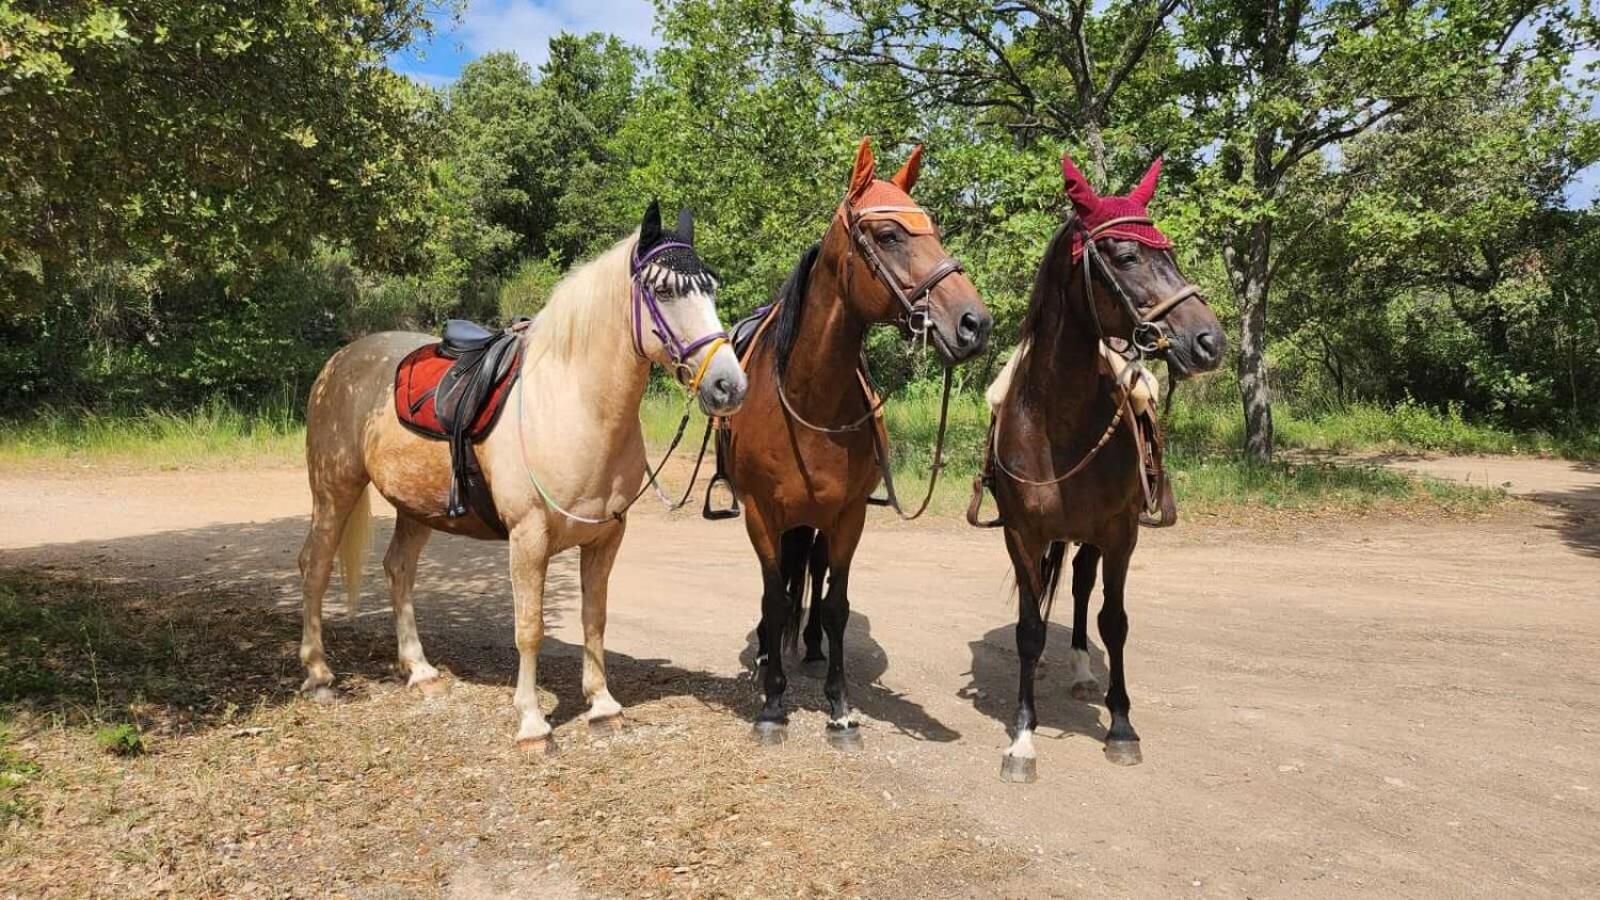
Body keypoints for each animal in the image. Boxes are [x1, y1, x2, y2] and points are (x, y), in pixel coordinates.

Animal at [297, 202, 746, 752]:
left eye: (711, 288)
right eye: (663, 292)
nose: (729, 385)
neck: (573, 405)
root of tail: (341, 361)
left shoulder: (606, 537)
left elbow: (594, 618)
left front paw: (603, 705)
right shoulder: (528, 538)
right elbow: (529, 627)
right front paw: (532, 723)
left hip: (416, 506)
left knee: (398, 569)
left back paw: (420, 671)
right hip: (334, 489)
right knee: (316, 566)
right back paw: (319, 674)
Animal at [720, 138, 993, 748]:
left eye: (935, 228)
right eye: (889, 235)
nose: (974, 324)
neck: (809, 401)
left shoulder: (847, 516)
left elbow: (837, 604)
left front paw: (840, 708)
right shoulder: (761, 515)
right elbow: (775, 598)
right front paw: (772, 703)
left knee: (814, 581)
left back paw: (810, 649)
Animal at [980, 153, 1225, 781]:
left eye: (1170, 252)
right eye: (1126, 255)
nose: (1208, 341)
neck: (1059, 421)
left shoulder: (1119, 534)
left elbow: (1113, 621)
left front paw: (1121, 727)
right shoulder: (1021, 533)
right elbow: (1028, 627)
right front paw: (1023, 738)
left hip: (1091, 538)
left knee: (1082, 588)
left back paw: (1083, 672)